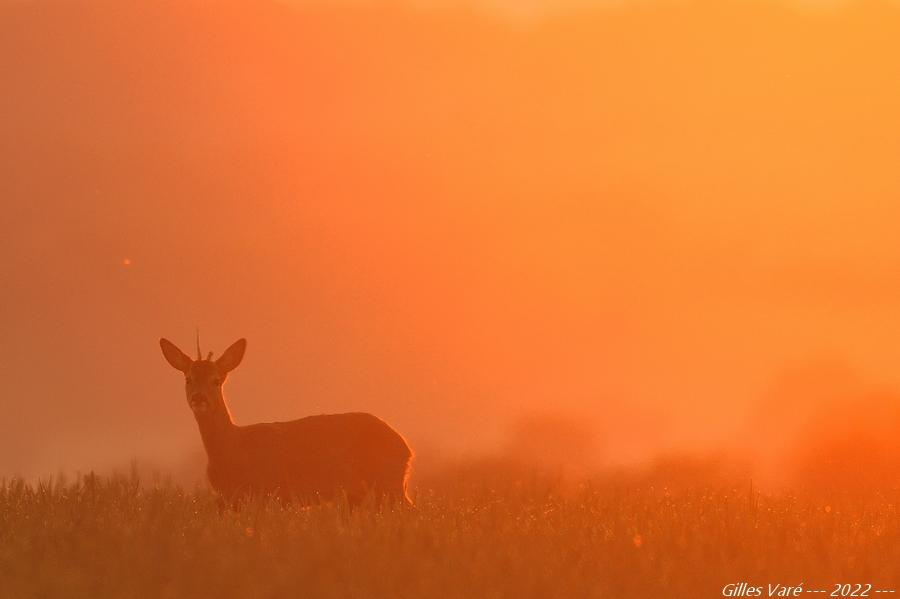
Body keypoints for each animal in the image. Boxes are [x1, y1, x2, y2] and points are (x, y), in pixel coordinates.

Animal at [160, 338, 414, 506]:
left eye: (216, 380)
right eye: (188, 378)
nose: (199, 398)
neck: (233, 448)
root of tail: (407, 449)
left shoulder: (267, 491)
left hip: (387, 483)